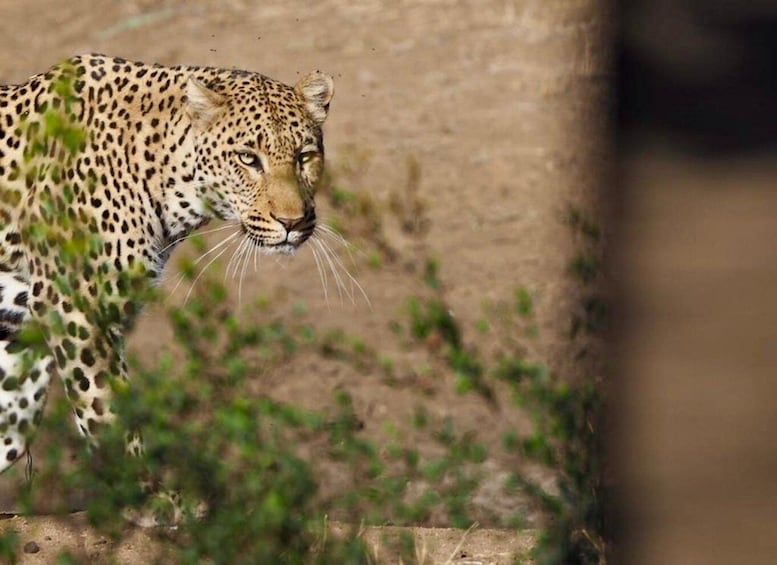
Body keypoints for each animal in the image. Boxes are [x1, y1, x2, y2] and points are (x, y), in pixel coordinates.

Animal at [0, 54, 334, 480]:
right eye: (248, 158)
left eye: (304, 156)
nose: (293, 222)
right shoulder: (78, 309)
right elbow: (110, 419)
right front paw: (144, 492)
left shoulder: (18, 331)